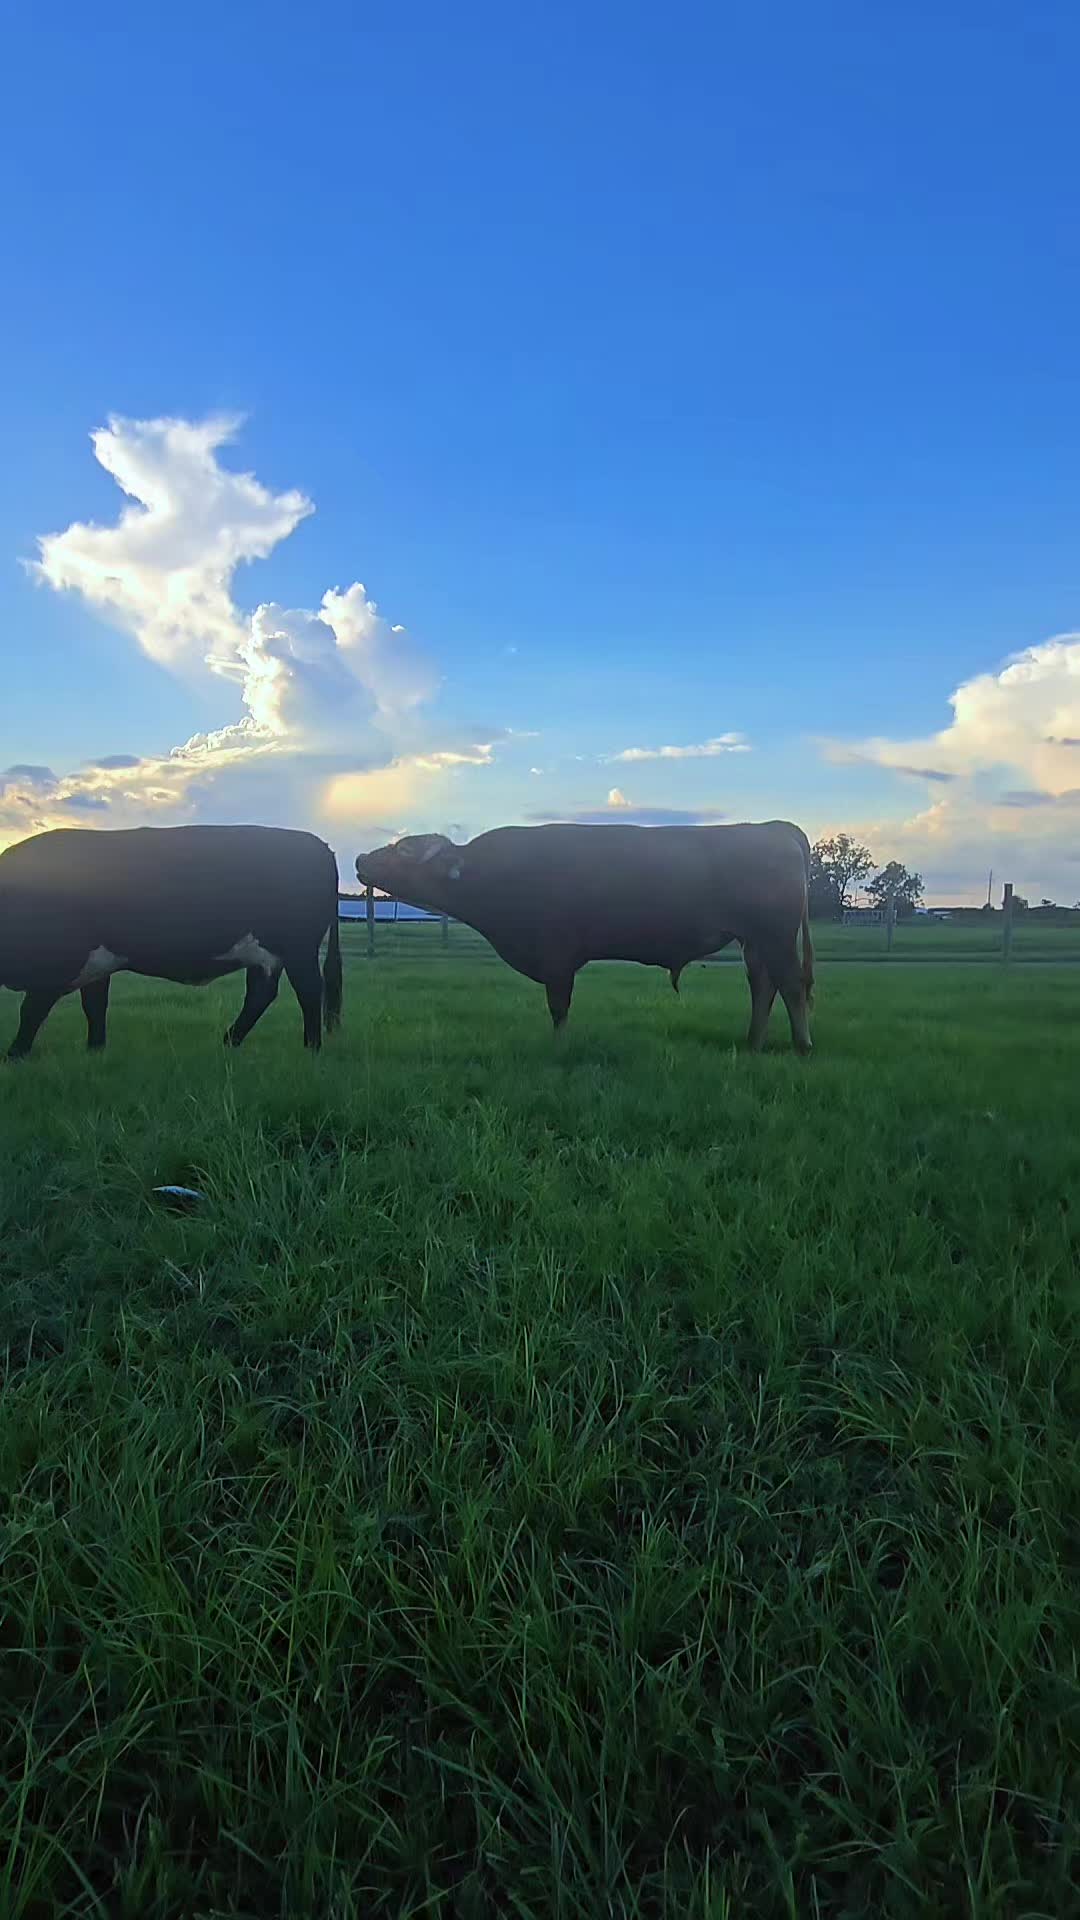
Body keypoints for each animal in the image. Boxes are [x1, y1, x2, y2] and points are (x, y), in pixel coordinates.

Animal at [0, 825, 342, 1060]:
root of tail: (319, 845)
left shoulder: (58, 961)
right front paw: (95, 1050)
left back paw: (311, 1048)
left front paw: (14, 1055)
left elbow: (32, 1010)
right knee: (261, 994)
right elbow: (94, 1006)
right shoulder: (96, 964)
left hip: (299, 949)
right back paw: (228, 1042)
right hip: (265, 954)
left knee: (309, 990)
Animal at [355, 819, 814, 1053]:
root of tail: (773, 828)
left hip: (775, 935)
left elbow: (559, 1008)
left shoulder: (556, 956)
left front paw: (559, 1048)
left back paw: (802, 1044)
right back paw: (753, 1042)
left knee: (791, 985)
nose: (359, 859)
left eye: (405, 850)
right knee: (763, 985)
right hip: (755, 941)